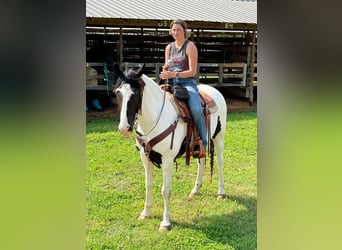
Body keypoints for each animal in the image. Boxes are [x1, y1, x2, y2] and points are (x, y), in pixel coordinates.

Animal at [114, 64, 227, 230]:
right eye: (118, 92)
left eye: (134, 93)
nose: (124, 128)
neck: (155, 119)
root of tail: (215, 91)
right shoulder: (145, 157)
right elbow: (148, 184)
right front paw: (145, 213)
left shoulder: (167, 160)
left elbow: (165, 190)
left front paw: (165, 222)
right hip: (199, 145)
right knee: (201, 162)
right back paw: (195, 190)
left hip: (219, 138)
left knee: (219, 163)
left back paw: (221, 192)